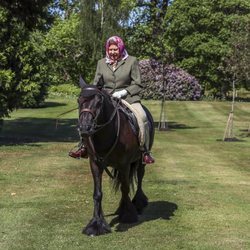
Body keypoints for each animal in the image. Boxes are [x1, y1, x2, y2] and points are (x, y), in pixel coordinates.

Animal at [78, 78, 154, 236]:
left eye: (99, 102)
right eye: (79, 100)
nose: (85, 128)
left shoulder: (124, 164)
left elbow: (125, 188)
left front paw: (128, 215)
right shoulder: (95, 164)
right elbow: (97, 193)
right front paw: (96, 224)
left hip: (140, 161)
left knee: (140, 177)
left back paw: (138, 203)